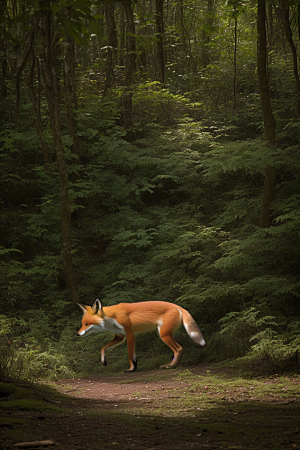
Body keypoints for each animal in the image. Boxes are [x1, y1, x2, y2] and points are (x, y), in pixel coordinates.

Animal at [76, 298, 205, 372]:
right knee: (176, 351)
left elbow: (129, 355)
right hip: (163, 335)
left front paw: (131, 368)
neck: (111, 318)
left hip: (164, 335)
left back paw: (172, 366)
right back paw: (170, 364)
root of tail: (178, 306)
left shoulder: (129, 334)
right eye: (82, 324)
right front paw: (104, 361)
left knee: (179, 349)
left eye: (87, 324)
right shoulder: (120, 336)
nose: (77, 334)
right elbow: (103, 348)